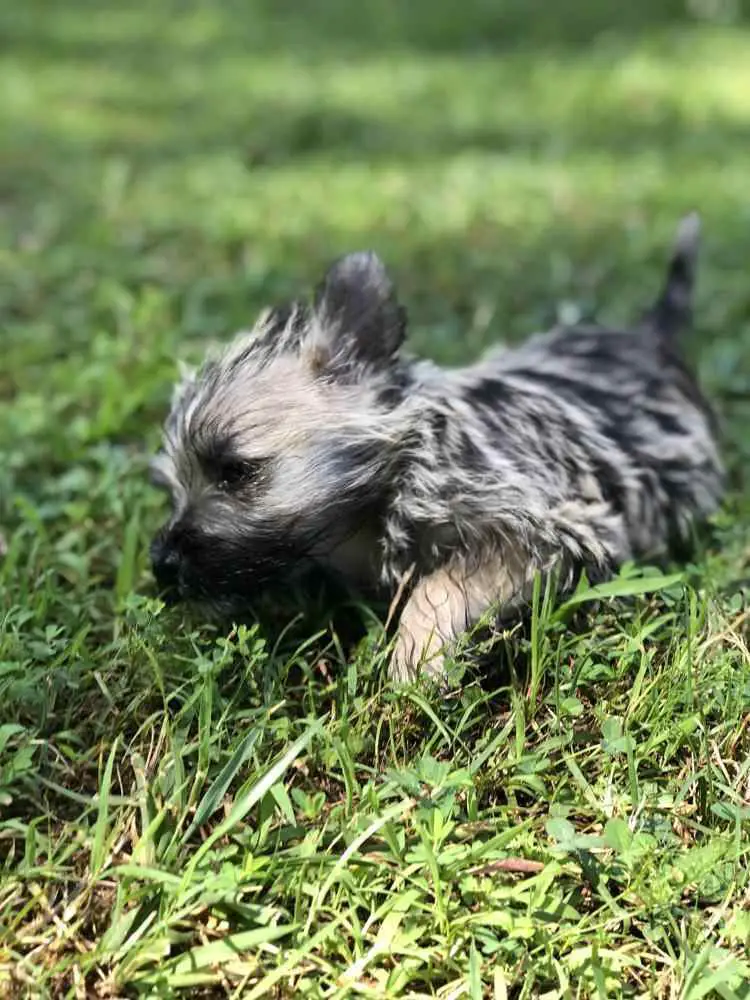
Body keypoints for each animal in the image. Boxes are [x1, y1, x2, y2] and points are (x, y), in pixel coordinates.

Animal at [150, 215, 724, 684]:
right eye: (174, 485)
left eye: (235, 471)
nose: (161, 564)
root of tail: (650, 337)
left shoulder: (545, 531)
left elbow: (438, 587)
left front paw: (413, 663)